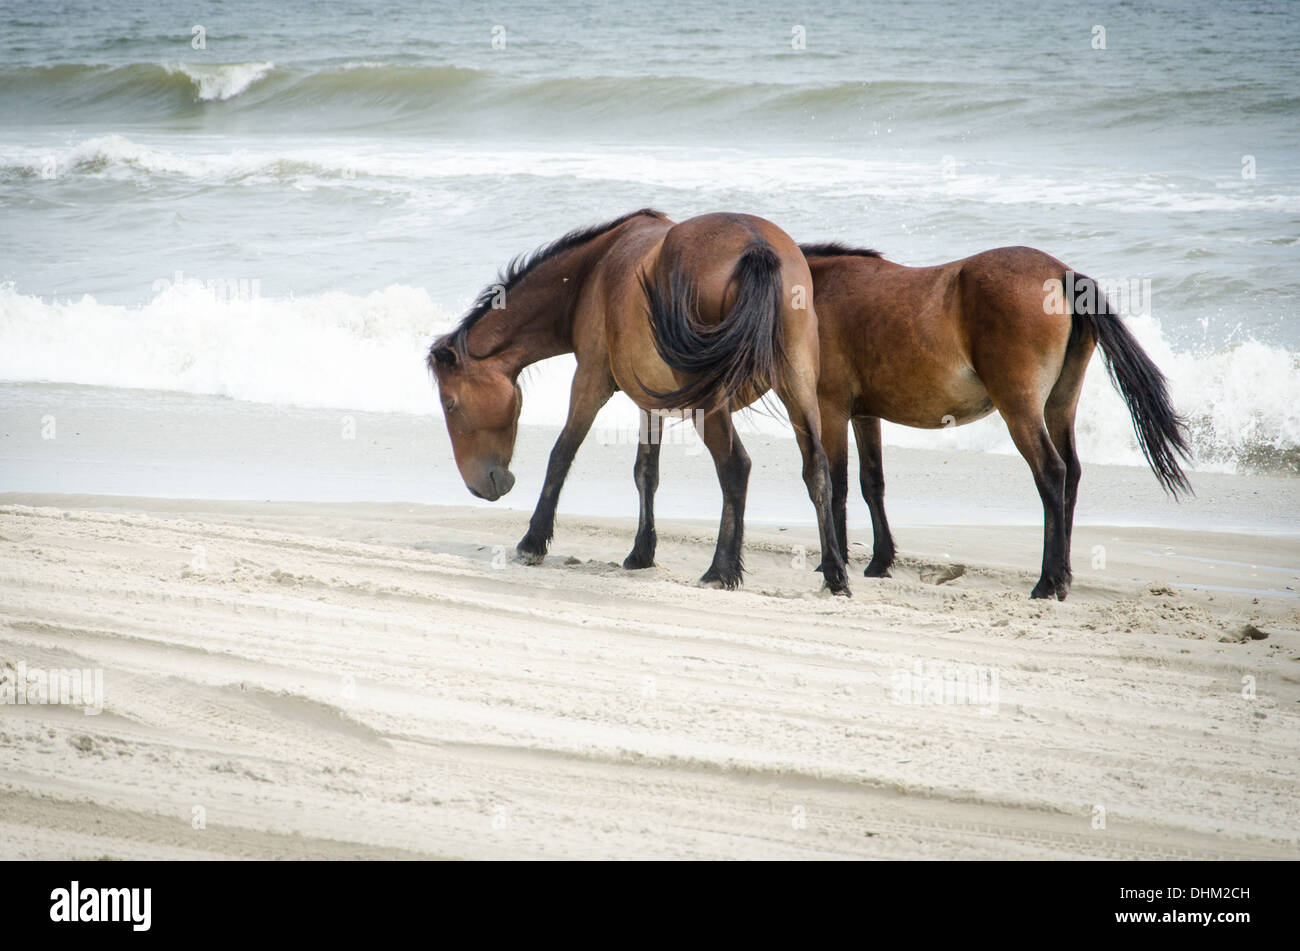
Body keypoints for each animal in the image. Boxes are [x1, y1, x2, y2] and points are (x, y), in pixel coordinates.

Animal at [427, 209, 851, 595]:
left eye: (450, 403)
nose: (480, 488)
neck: (592, 272)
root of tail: (756, 247)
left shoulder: (590, 378)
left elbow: (562, 453)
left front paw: (533, 542)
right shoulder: (650, 402)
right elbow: (646, 471)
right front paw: (641, 553)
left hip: (713, 401)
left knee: (735, 466)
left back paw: (720, 570)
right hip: (797, 384)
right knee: (816, 468)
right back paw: (834, 574)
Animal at [798, 242, 1192, 600]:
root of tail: (1062, 275)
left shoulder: (831, 409)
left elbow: (836, 486)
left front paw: (837, 562)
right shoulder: (865, 415)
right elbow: (872, 483)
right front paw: (880, 561)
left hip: (1019, 408)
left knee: (1052, 472)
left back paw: (1048, 582)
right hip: (1060, 404)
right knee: (1072, 472)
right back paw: (1063, 577)